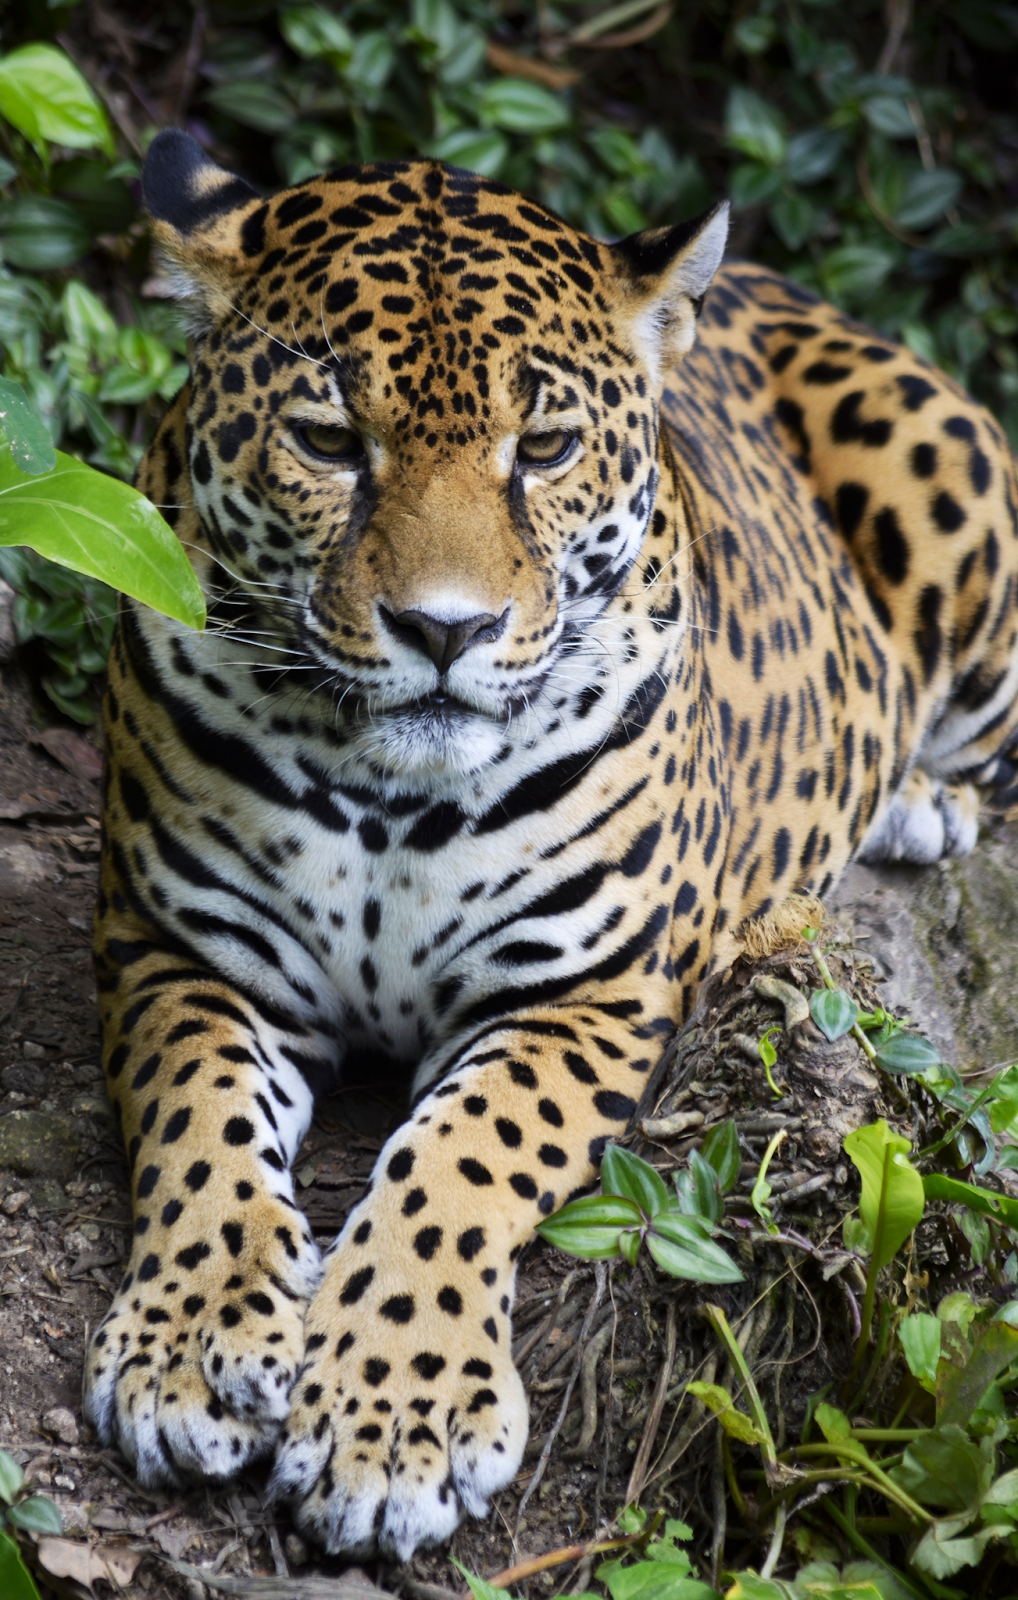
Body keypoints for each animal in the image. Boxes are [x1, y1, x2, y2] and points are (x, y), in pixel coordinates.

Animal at [82, 126, 1018, 1560]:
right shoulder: (175, 945)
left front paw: (389, 1419)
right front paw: (192, 1346)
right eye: (327, 441)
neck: (387, 792)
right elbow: (197, 1119)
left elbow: (460, 1155)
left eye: (546, 446)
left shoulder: (588, 989)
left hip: (950, 488)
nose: (444, 628)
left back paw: (920, 794)